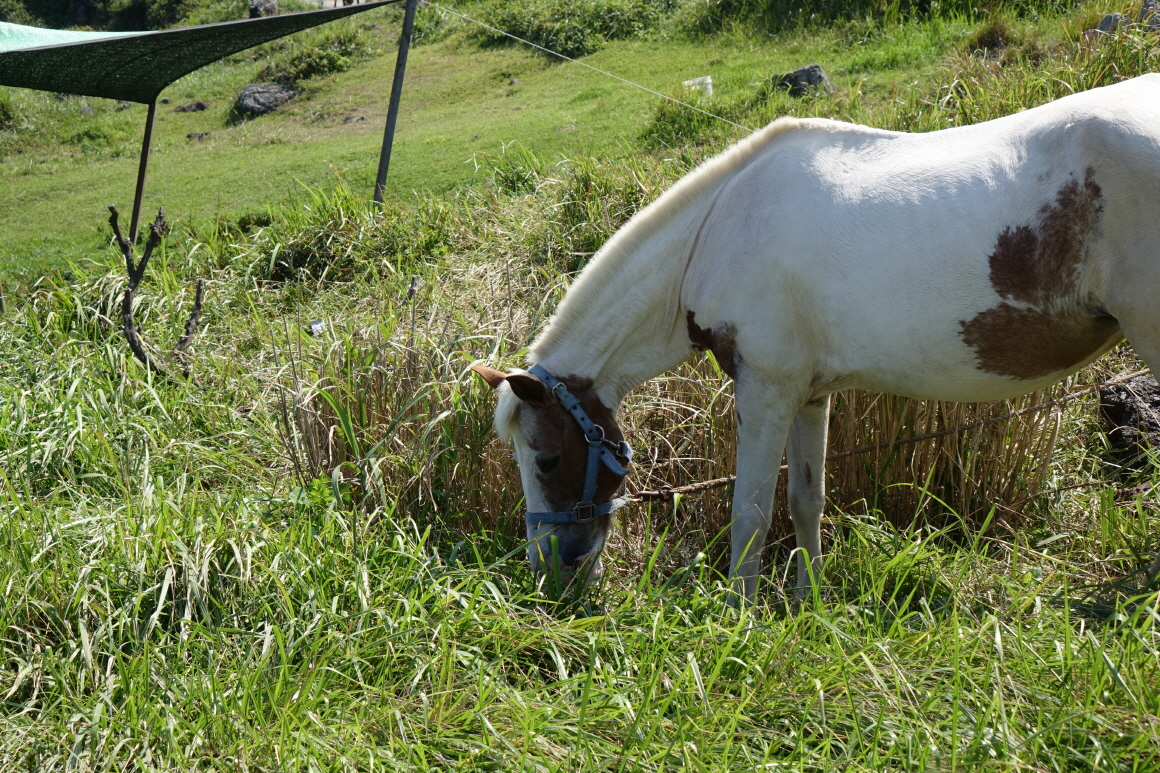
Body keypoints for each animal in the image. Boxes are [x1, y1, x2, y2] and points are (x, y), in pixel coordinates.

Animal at [470, 75, 1160, 594]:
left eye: (546, 457)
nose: (548, 573)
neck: (715, 237)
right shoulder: (810, 394)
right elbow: (807, 499)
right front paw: (810, 602)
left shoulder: (765, 390)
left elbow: (750, 511)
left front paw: (739, 617)